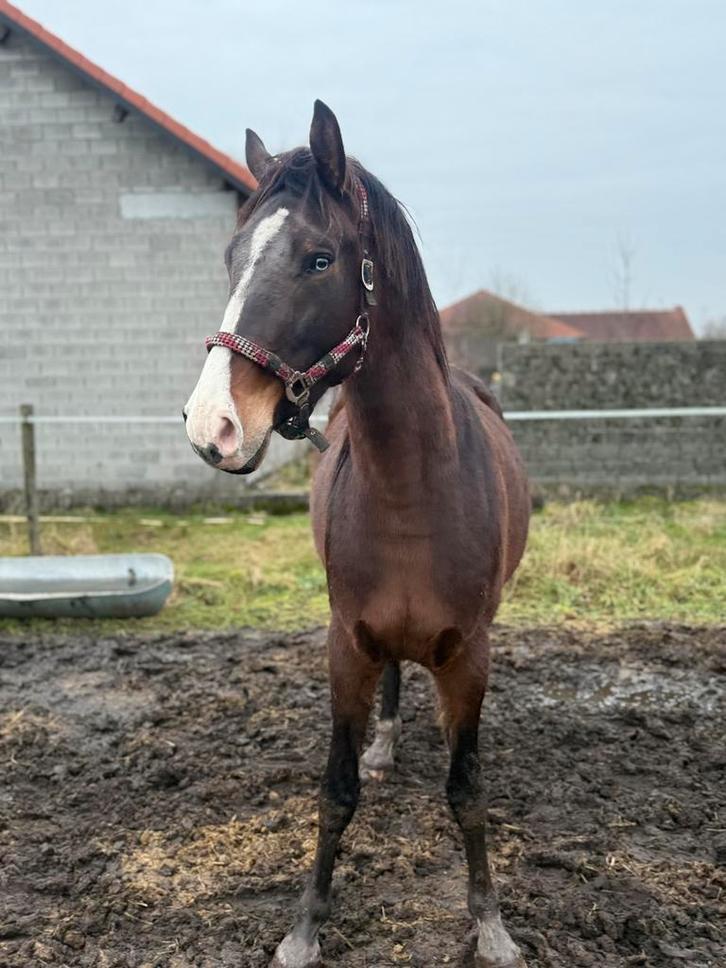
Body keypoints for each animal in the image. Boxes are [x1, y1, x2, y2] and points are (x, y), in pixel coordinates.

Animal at [183, 101, 530, 968]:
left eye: (318, 259)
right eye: (232, 256)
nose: (213, 426)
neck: (412, 487)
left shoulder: (469, 653)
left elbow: (468, 790)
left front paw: (490, 924)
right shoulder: (348, 643)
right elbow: (335, 791)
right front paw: (305, 926)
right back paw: (386, 745)